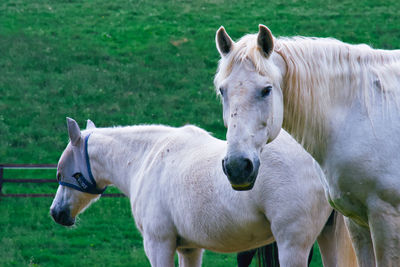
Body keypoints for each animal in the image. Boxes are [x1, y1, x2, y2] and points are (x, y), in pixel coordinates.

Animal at [50, 118, 354, 267]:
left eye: (61, 171)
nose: (56, 213)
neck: (147, 157)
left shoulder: (158, 245)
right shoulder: (189, 248)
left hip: (293, 245)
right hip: (327, 238)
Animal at [216, 24, 400, 266]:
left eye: (266, 90)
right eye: (222, 90)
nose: (237, 167)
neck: (364, 114)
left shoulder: (385, 219)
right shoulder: (358, 223)